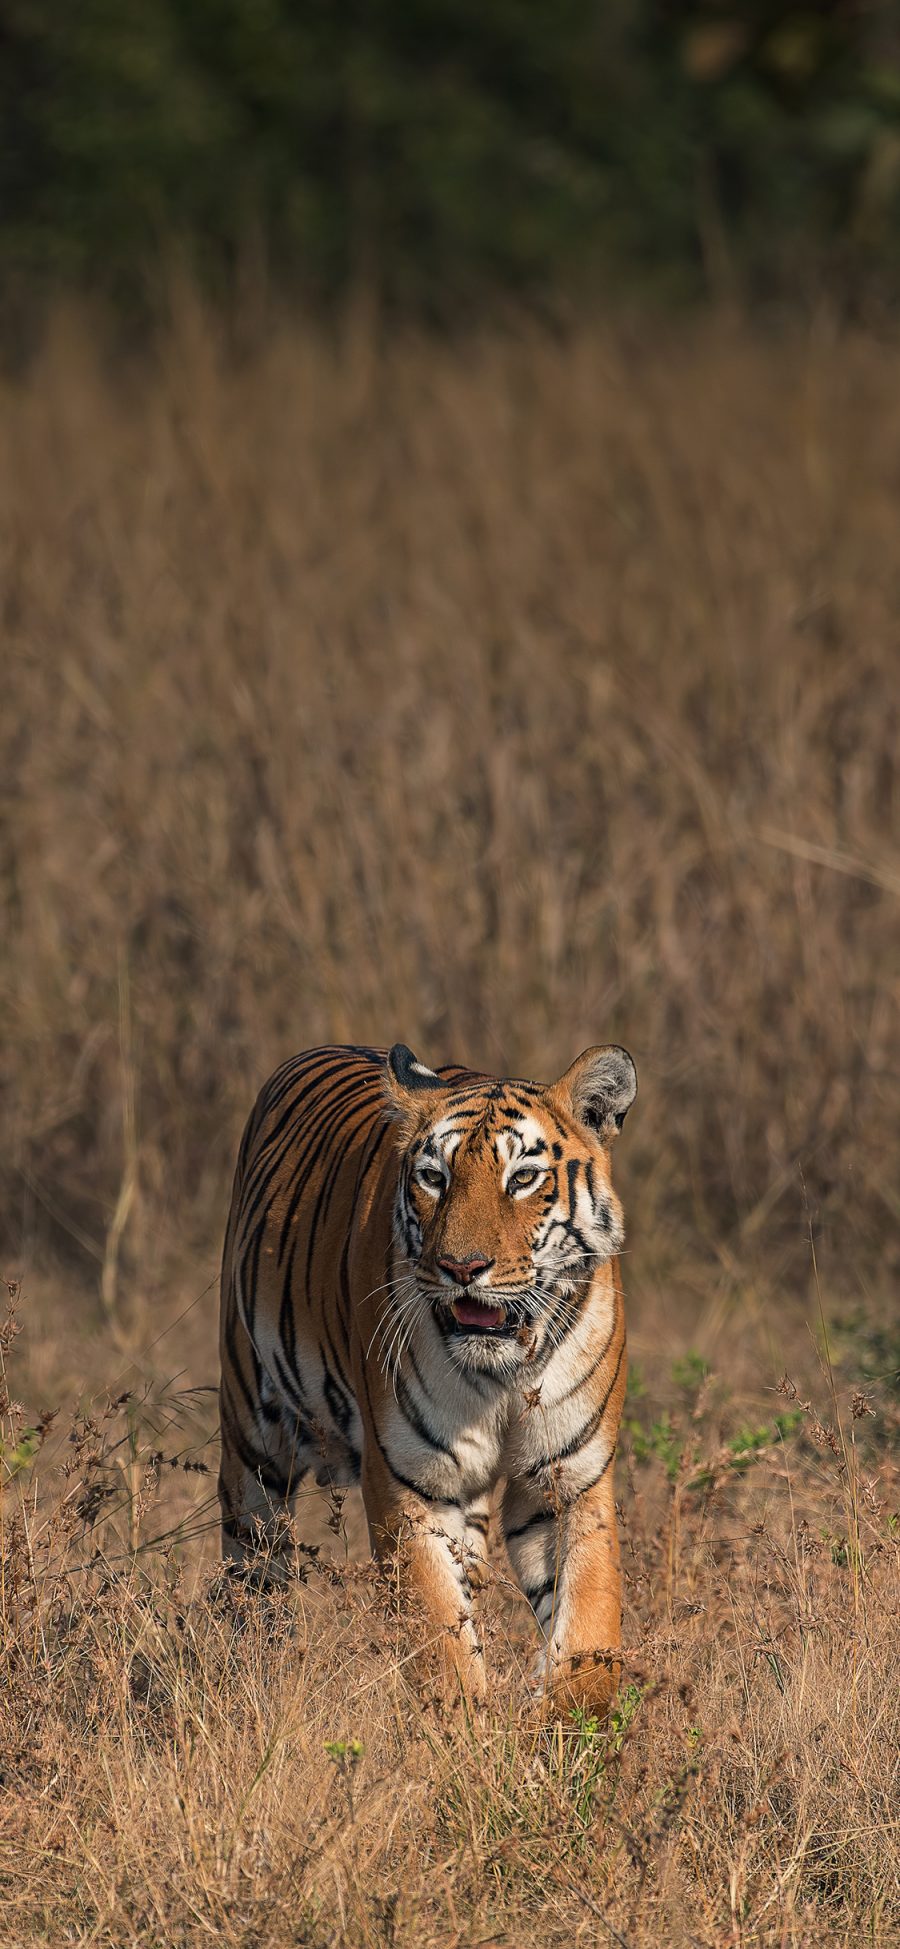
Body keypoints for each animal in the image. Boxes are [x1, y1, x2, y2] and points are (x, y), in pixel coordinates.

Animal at [218, 1044, 635, 1715]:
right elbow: (443, 1649)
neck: (505, 1371)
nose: (462, 1267)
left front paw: (564, 1727)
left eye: (523, 1178)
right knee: (251, 1576)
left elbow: (590, 1634)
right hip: (254, 1439)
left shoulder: (571, 1479)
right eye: (434, 1177)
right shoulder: (410, 1485)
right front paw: (470, 1734)